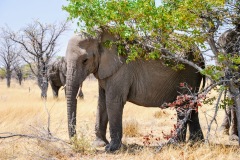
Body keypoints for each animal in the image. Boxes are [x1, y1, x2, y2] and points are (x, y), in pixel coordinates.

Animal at [65, 29, 204, 151]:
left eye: (85, 60)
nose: (74, 141)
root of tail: (202, 57)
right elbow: (102, 102)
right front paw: (98, 144)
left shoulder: (121, 70)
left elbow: (113, 102)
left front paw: (111, 149)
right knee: (191, 106)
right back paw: (195, 143)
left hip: (188, 74)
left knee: (183, 105)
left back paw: (175, 143)